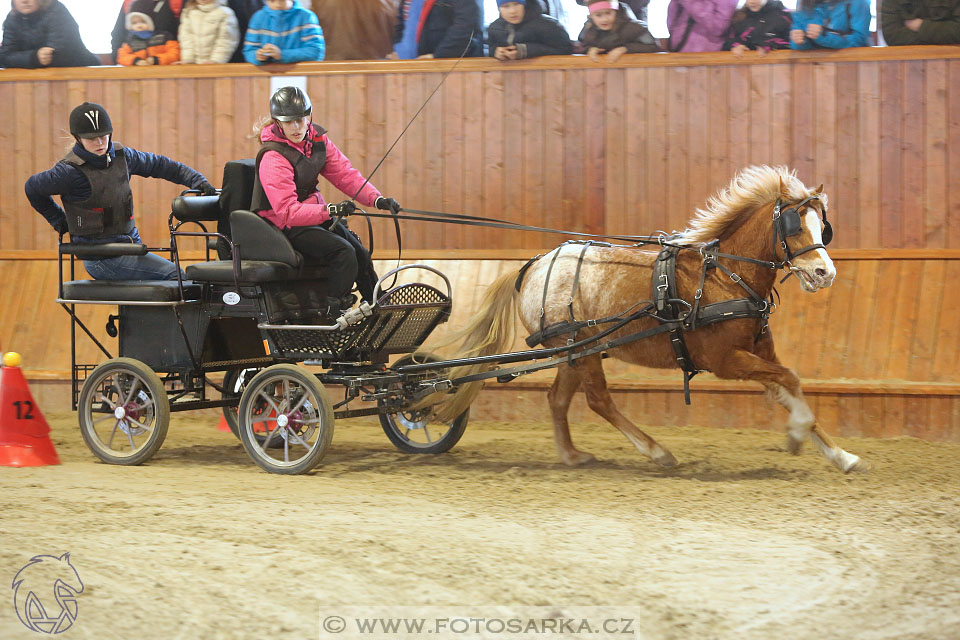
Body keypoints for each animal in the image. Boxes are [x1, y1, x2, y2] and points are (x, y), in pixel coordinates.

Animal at [432, 166, 868, 476]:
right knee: (599, 399)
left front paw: (840, 455)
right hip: (582, 349)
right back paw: (656, 451)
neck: (725, 276)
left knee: (558, 398)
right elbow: (789, 381)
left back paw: (572, 455)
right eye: (793, 226)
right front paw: (797, 436)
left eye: (823, 226)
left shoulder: (760, 353)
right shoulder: (726, 361)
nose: (825, 273)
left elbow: (788, 386)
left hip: (575, 349)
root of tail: (535, 264)